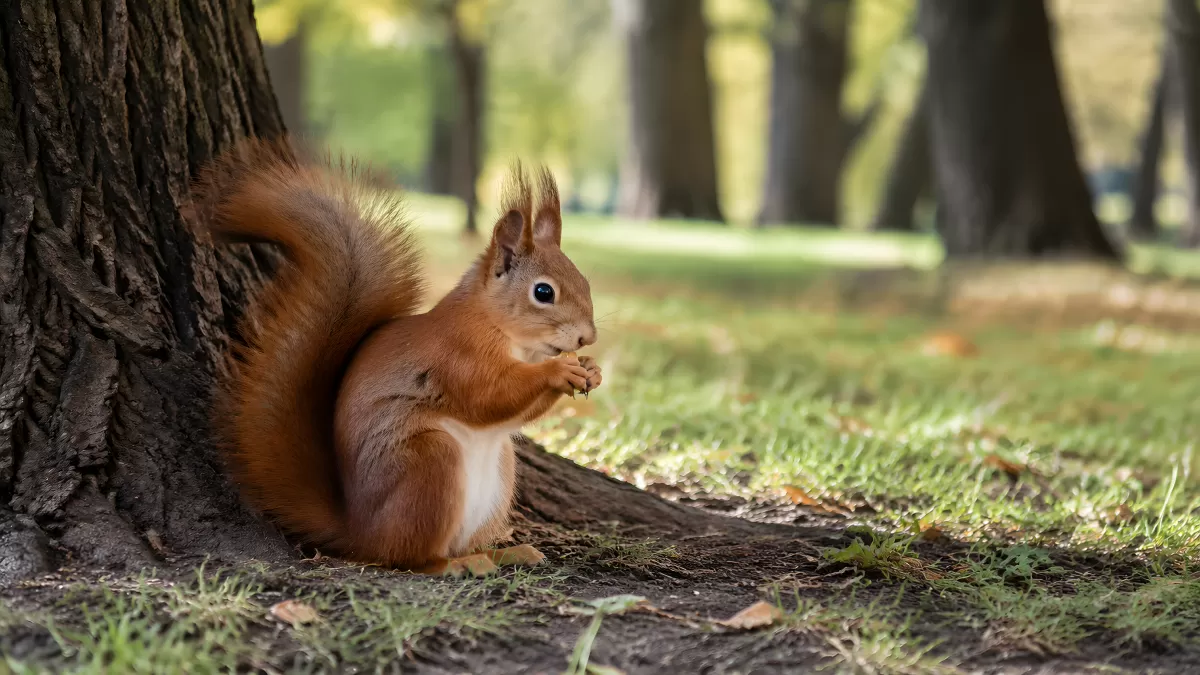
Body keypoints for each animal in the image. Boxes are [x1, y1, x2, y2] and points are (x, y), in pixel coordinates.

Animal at [190, 138, 601, 576]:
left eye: (584, 281)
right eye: (543, 292)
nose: (588, 337)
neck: (505, 333)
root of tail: (360, 531)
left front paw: (591, 370)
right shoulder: (456, 356)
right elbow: (489, 395)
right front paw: (559, 369)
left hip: (499, 474)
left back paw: (504, 552)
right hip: (429, 463)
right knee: (410, 558)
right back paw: (454, 564)